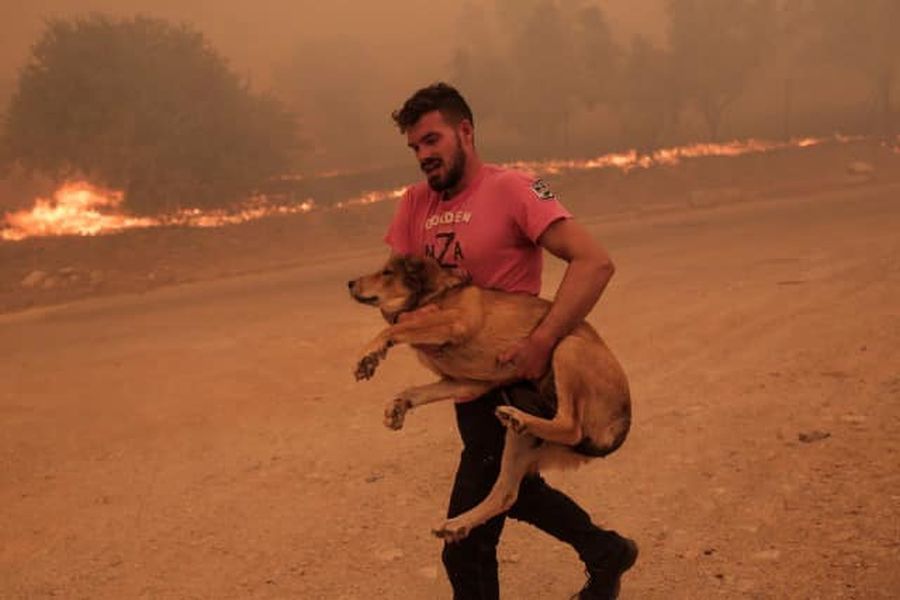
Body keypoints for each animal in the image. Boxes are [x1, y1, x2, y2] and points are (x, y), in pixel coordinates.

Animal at [348, 255, 628, 540]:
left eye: (387, 272)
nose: (349, 283)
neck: (436, 293)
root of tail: (621, 422)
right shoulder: (467, 384)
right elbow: (417, 390)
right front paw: (398, 405)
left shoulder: (454, 323)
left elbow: (397, 328)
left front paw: (369, 354)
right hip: (519, 442)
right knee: (506, 494)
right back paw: (458, 523)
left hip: (568, 347)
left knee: (571, 426)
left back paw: (518, 417)